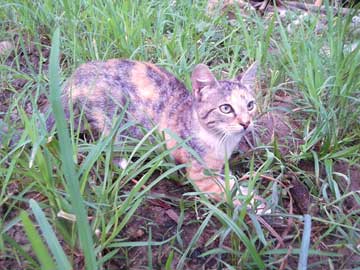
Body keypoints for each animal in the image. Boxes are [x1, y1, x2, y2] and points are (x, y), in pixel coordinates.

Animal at [50, 59, 258, 202]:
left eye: (250, 105)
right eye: (226, 108)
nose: (246, 123)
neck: (220, 140)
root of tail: (80, 74)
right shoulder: (198, 174)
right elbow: (223, 191)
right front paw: (253, 203)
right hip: (114, 115)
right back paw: (125, 163)